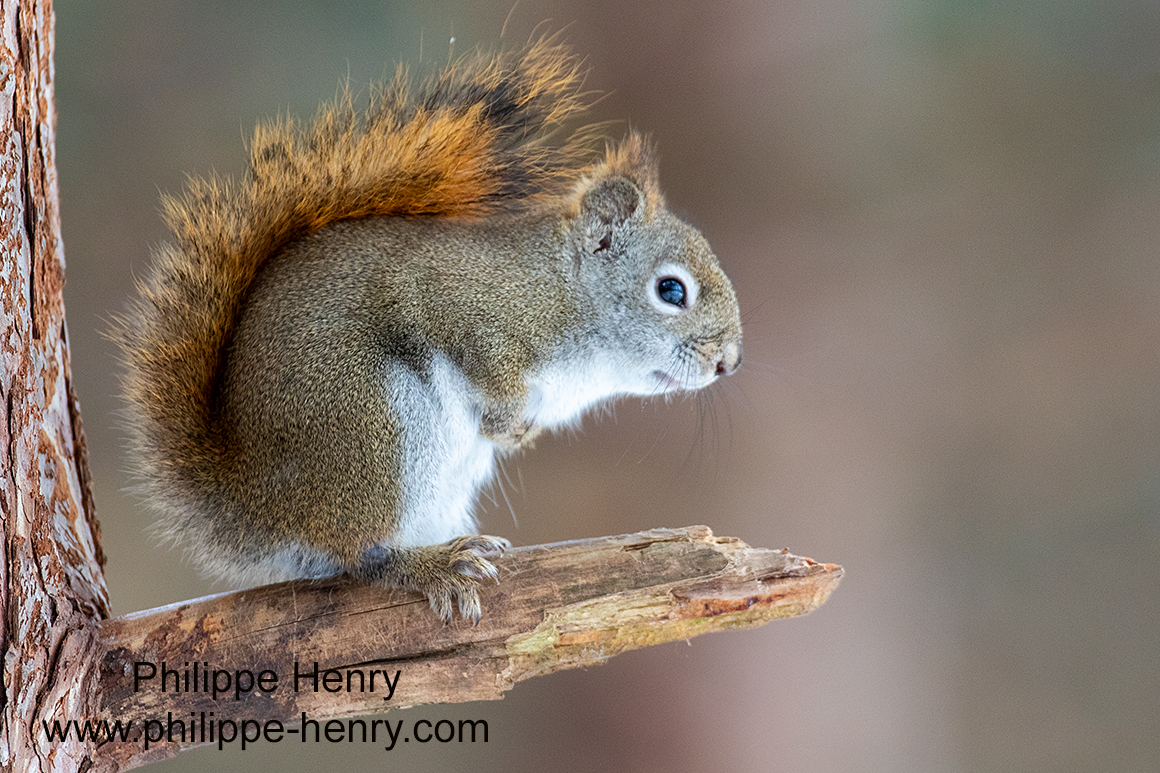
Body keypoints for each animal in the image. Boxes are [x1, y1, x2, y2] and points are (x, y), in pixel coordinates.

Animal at [117, 39, 742, 623]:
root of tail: (261, 505)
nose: (728, 362)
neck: (564, 295)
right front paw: (507, 419)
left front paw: (520, 434)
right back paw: (429, 565)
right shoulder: (458, 306)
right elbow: (481, 364)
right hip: (376, 429)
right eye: (671, 290)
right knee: (361, 554)